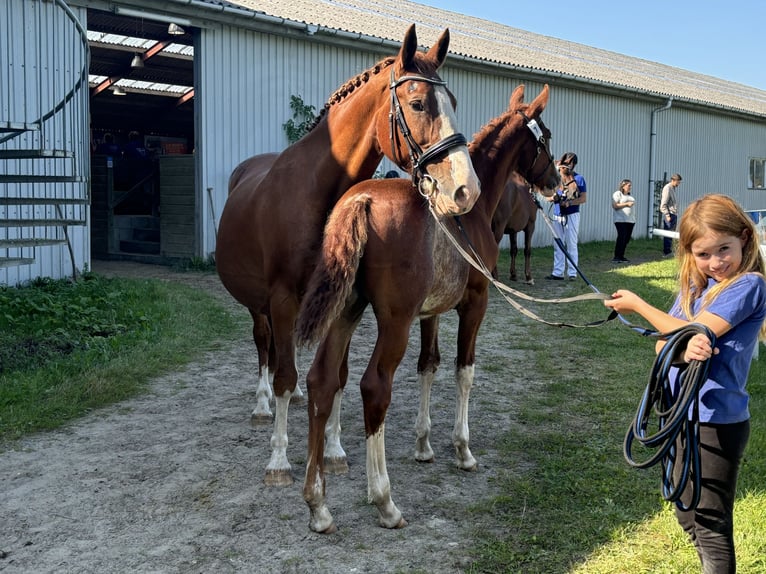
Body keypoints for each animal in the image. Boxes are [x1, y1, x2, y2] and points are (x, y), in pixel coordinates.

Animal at [214, 24, 480, 488]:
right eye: (417, 103)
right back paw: (263, 406)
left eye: (453, 102)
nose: (466, 189)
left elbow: (336, 377)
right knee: (266, 349)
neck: (316, 193)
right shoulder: (282, 299)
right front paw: (279, 461)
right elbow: (285, 374)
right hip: (260, 306)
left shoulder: (343, 301)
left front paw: (335, 451)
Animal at [296, 85, 560, 536]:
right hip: (393, 322)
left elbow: (428, 366)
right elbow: (463, 371)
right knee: (374, 387)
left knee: (322, 381)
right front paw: (462, 450)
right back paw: (384, 501)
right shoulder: (474, 303)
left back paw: (318, 506)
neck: (472, 214)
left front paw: (423, 444)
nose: (559, 184)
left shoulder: (431, 312)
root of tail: (361, 199)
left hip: (347, 311)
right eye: (545, 139)